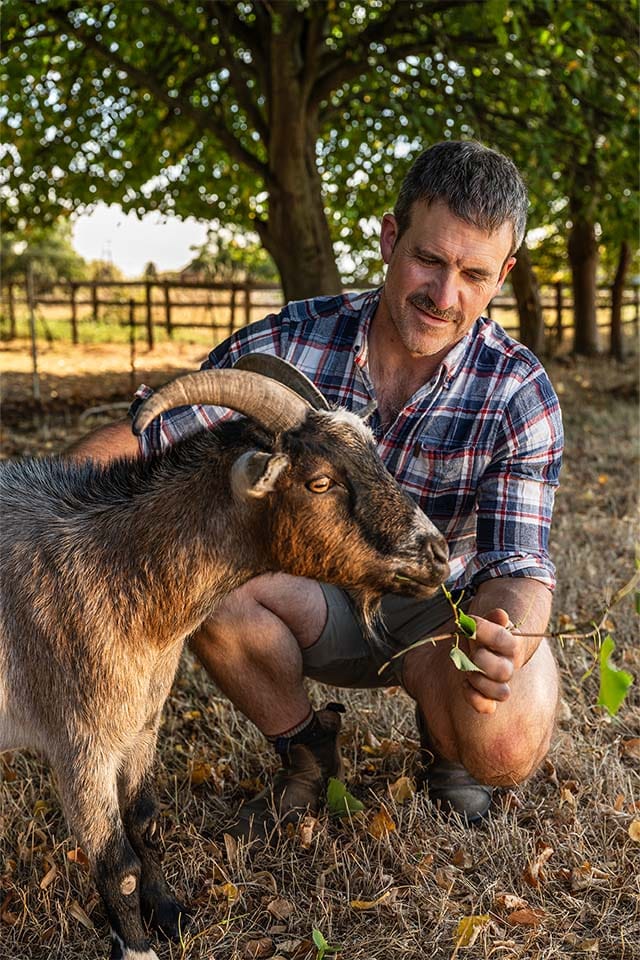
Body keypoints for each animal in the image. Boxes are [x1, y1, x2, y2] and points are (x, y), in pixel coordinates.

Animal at [0, 365, 449, 960]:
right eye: (320, 482)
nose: (438, 554)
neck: (111, 570)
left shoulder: (141, 727)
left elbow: (146, 824)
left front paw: (171, 916)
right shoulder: (79, 745)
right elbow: (116, 864)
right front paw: (138, 947)